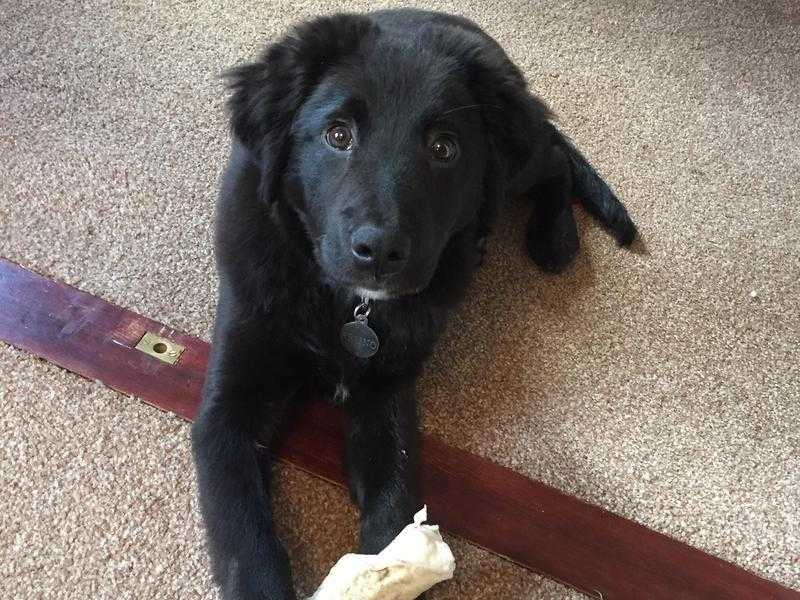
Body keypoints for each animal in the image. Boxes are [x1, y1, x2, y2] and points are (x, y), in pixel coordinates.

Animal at [191, 9, 636, 600]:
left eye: (443, 148)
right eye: (338, 135)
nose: (379, 251)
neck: (351, 309)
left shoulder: (387, 395)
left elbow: (395, 508)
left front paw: (387, 570)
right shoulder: (228, 411)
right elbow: (246, 542)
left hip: (512, 171)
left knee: (555, 156)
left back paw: (555, 237)